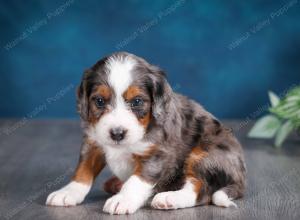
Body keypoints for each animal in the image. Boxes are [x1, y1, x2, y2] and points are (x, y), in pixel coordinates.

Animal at [45, 52, 245, 215]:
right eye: (100, 101)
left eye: (137, 101)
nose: (117, 133)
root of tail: (241, 179)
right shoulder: (93, 142)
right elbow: (83, 170)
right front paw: (68, 192)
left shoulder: (157, 153)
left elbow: (137, 179)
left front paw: (123, 199)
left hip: (205, 153)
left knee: (201, 189)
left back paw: (170, 198)